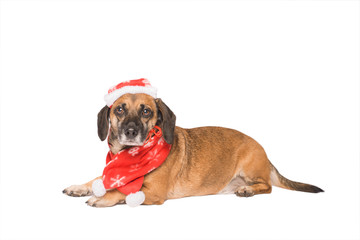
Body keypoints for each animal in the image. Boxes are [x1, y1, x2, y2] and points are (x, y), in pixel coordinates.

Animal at [62, 93, 324, 207]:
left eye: (146, 111)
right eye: (119, 110)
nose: (130, 131)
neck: (131, 157)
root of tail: (265, 153)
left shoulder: (153, 192)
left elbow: (121, 190)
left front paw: (102, 197)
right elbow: (98, 179)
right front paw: (80, 187)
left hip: (251, 167)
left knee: (267, 187)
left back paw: (248, 190)